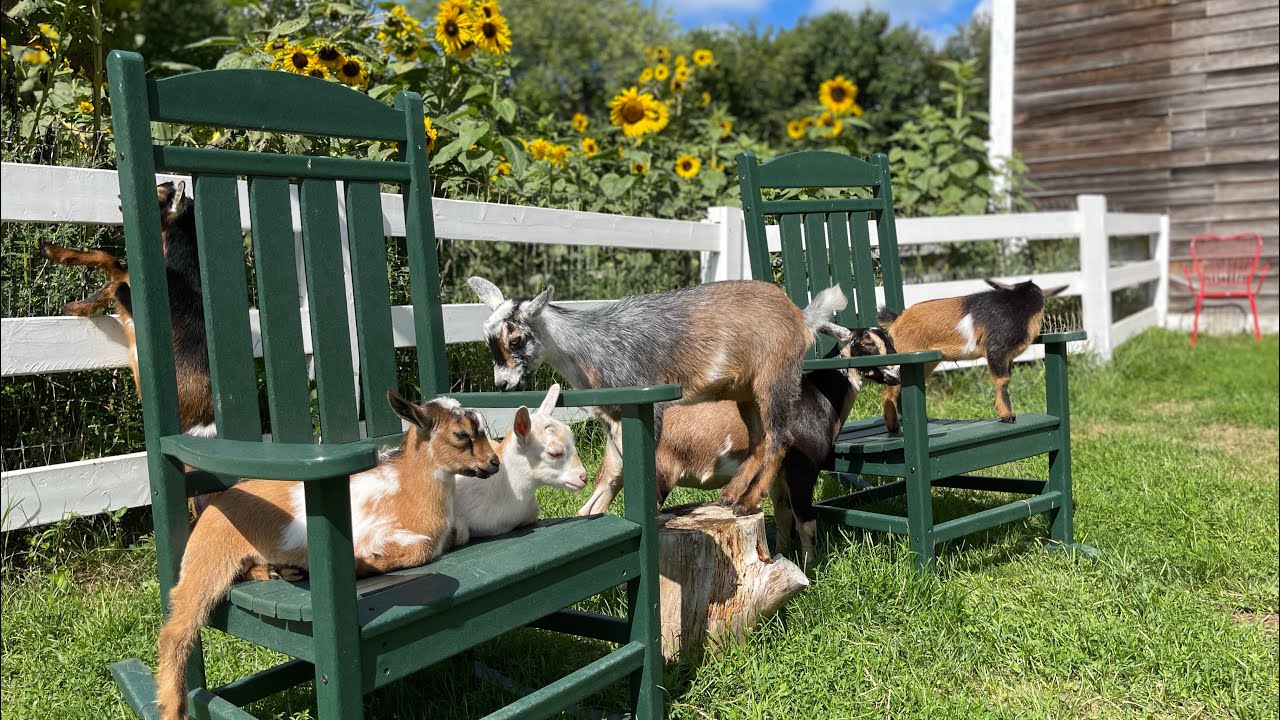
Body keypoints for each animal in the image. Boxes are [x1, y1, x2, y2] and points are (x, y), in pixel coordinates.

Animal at [40, 181, 213, 436]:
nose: (121, 196)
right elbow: (107, 257)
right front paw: (51, 250)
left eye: (158, 193)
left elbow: (114, 283)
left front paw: (77, 307)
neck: (179, 271)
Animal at [154, 389, 499, 720]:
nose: (494, 463)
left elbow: (459, 533)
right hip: (210, 554)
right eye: (461, 434)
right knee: (176, 629)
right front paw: (365, 563)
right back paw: (172, 709)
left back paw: (279, 570)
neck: (407, 492)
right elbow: (421, 548)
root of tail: (211, 506)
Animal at [469, 277, 846, 517]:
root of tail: (799, 316)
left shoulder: (651, 402)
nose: (503, 385)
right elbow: (619, 469)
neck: (591, 346)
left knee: (780, 438)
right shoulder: (614, 418)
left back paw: (747, 503)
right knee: (759, 439)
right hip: (745, 391)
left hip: (775, 376)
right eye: (488, 339)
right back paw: (729, 496)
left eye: (516, 339)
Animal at [654, 326, 899, 565]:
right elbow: (805, 523)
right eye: (867, 343)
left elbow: (783, 515)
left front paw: (781, 554)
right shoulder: (802, 469)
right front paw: (810, 565)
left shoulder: (779, 476)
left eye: (888, 339)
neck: (817, 399)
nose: (896, 372)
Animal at [877, 279, 1066, 432]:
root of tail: (897, 320)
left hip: (926, 363)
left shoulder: (1008, 357)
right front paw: (1008, 416)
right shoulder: (996, 350)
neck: (1018, 307)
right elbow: (1003, 380)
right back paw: (893, 426)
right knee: (891, 387)